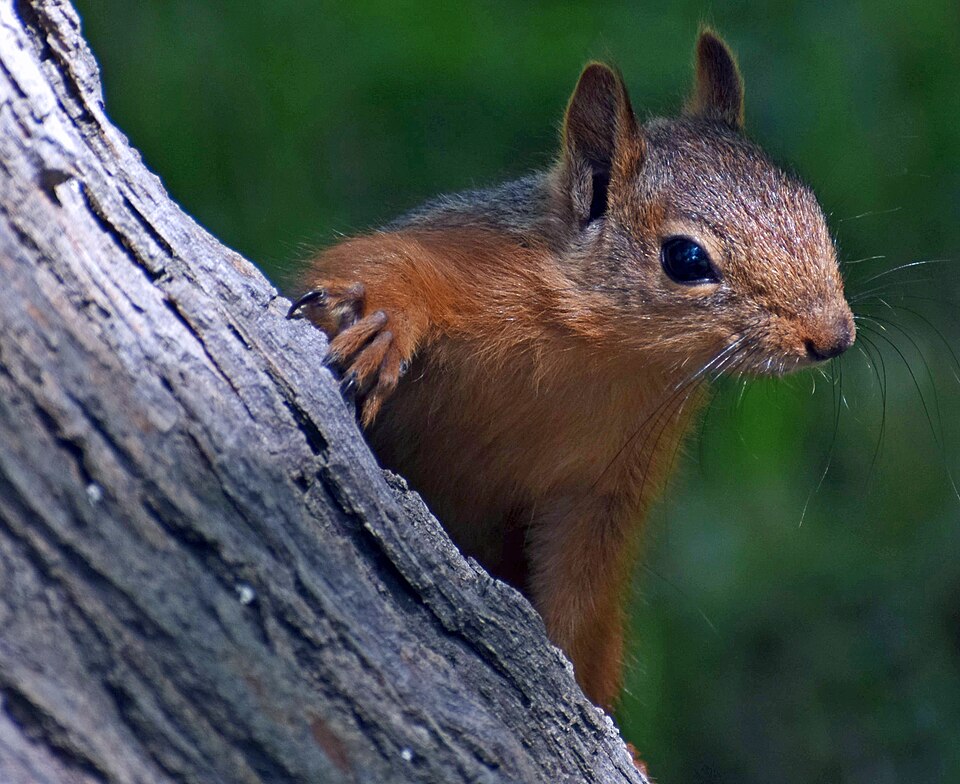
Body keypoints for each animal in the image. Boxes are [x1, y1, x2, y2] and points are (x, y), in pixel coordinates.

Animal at [289, 30, 855, 713]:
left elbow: (581, 590)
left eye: (813, 211)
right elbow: (376, 260)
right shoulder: (468, 260)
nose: (834, 337)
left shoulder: (606, 489)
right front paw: (384, 319)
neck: (604, 352)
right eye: (687, 259)